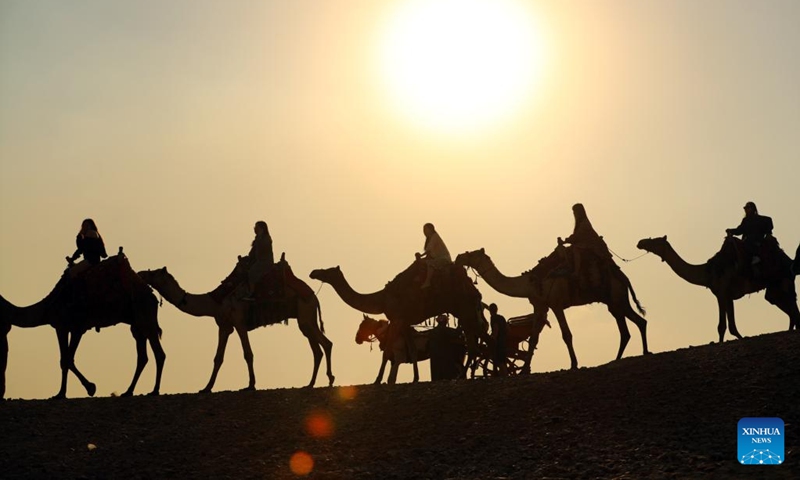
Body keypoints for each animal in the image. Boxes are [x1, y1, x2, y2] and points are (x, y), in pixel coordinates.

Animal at [1, 252, 164, 399]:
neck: (48, 306)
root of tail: (152, 295)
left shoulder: (72, 327)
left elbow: (67, 359)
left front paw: (83, 389)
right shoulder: (67, 327)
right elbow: (66, 359)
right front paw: (69, 391)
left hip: (145, 316)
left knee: (159, 353)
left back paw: (154, 391)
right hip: (136, 324)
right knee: (142, 356)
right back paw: (128, 391)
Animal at [138, 255, 334, 392]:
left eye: (153, 272)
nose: (140, 273)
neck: (215, 301)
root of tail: (314, 296)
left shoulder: (239, 322)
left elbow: (248, 354)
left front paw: (251, 385)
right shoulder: (224, 326)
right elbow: (218, 357)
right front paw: (206, 388)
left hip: (305, 312)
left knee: (325, 344)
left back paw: (329, 380)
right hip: (306, 318)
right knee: (318, 348)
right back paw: (310, 383)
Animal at [309, 262, 488, 374]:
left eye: (328, 270)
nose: (313, 272)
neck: (381, 299)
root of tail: (473, 289)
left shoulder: (397, 319)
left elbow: (387, 353)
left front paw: (377, 381)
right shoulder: (405, 322)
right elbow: (413, 351)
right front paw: (415, 379)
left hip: (465, 310)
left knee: (476, 345)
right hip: (467, 312)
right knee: (478, 343)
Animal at [454, 248, 649, 371]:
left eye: (470, 253)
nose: (458, 257)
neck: (529, 282)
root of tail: (623, 277)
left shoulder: (556, 303)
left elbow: (566, 335)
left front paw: (574, 364)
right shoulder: (540, 305)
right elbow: (533, 339)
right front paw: (524, 369)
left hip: (617, 297)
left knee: (635, 323)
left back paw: (638, 353)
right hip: (614, 302)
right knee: (631, 326)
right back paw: (622, 357)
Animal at [637, 236, 800, 341]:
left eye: (655, 240)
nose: (640, 242)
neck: (708, 272)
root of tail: (790, 261)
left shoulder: (722, 293)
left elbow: (724, 326)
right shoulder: (725, 296)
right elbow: (728, 326)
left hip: (784, 281)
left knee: (793, 309)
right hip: (775, 288)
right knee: (788, 308)